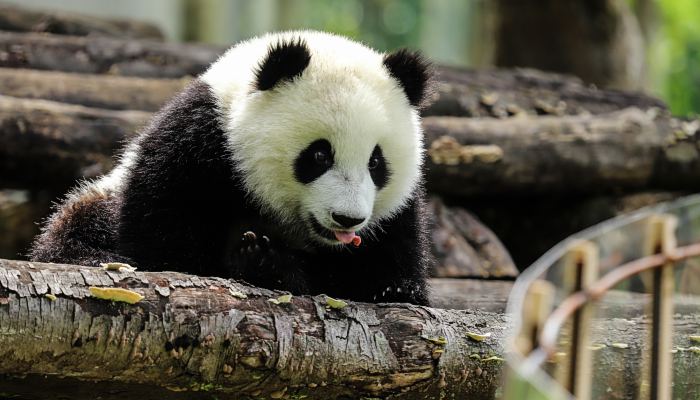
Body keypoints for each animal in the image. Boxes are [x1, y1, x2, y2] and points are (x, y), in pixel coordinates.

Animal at [31, 31, 432, 304]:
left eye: (376, 162)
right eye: (319, 155)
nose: (347, 219)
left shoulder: (398, 220)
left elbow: (394, 284)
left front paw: (269, 263)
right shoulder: (192, 149)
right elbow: (167, 251)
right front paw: (263, 260)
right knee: (74, 231)